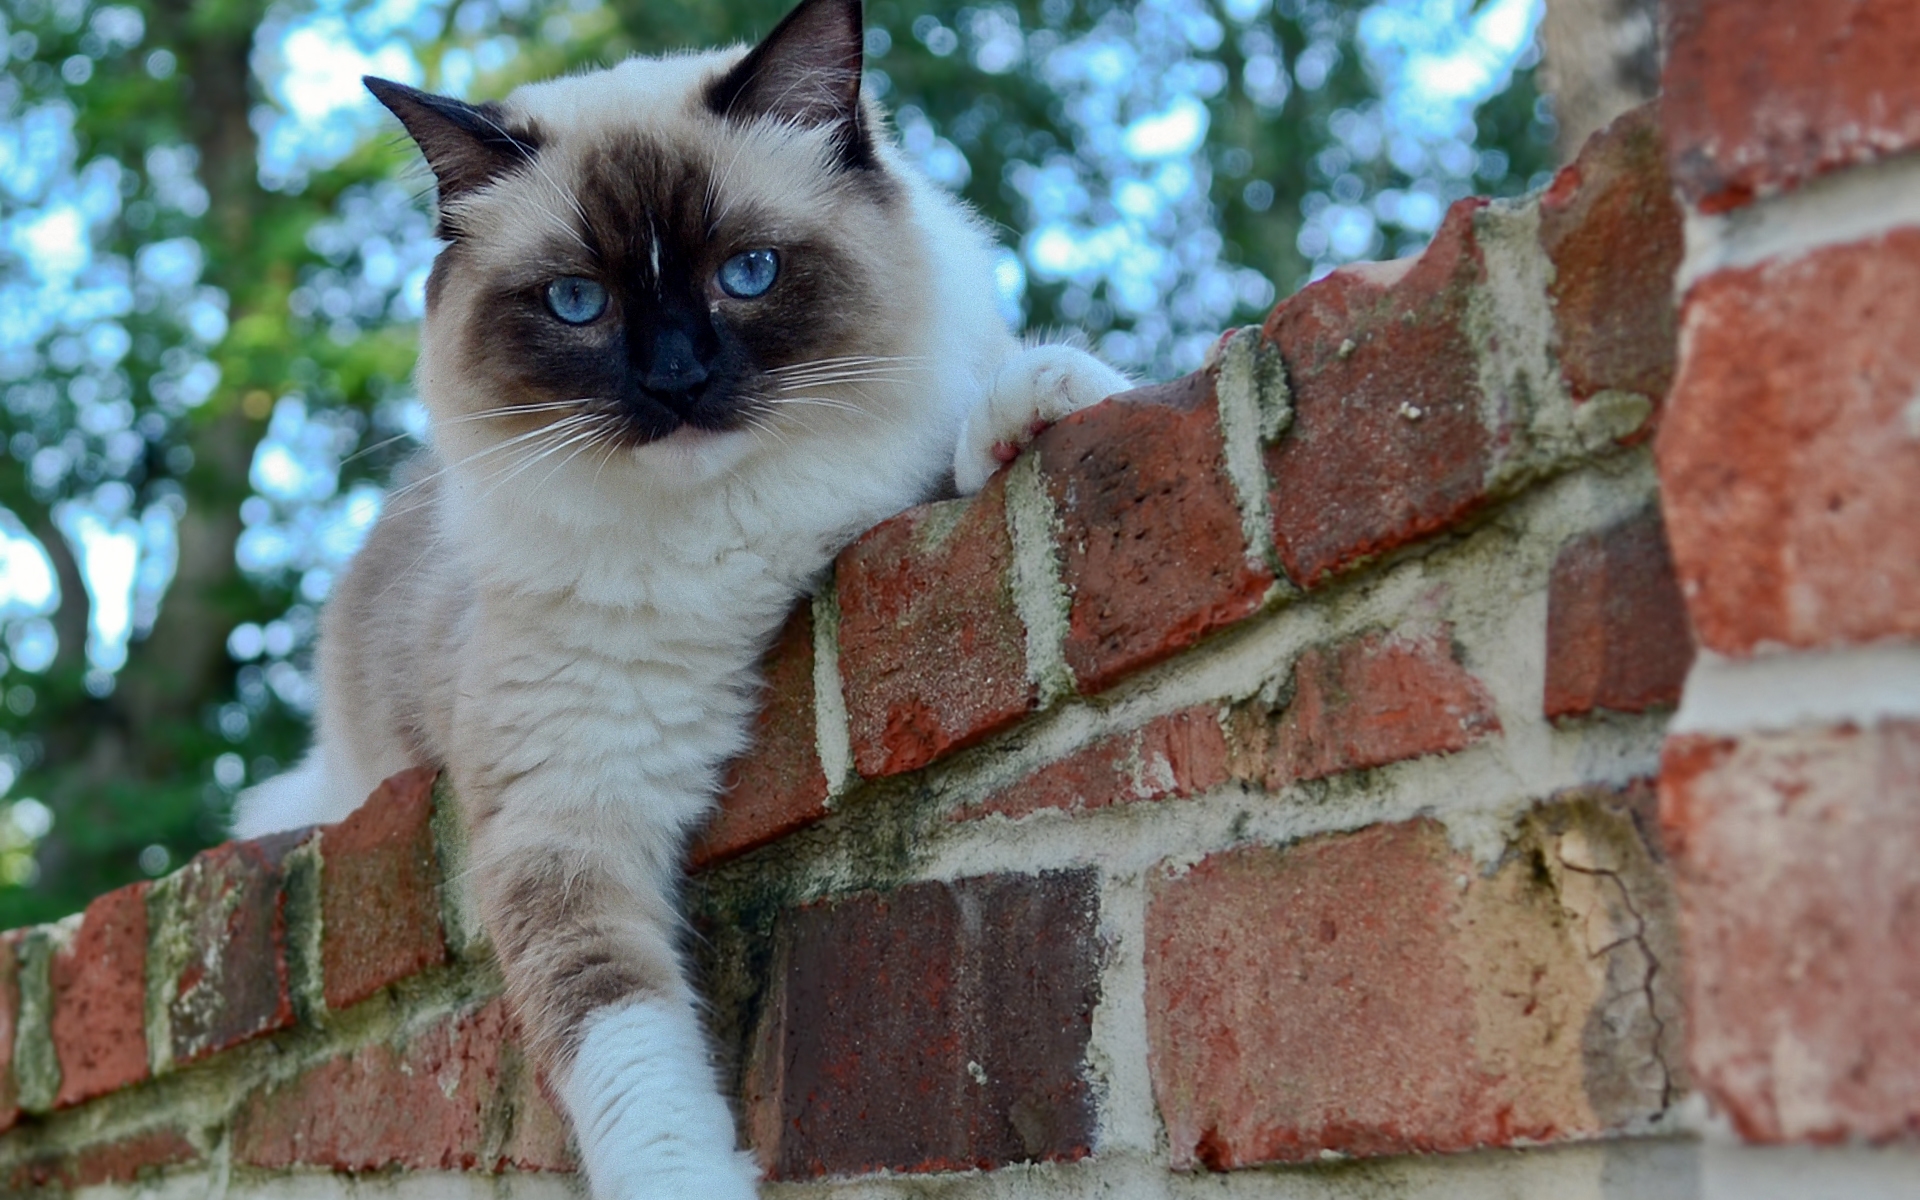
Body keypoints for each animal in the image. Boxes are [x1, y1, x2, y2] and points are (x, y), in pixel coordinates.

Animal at [228, 0, 1121, 1190]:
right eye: (578, 302)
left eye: (748, 273)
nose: (677, 381)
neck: (726, 543)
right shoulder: (565, 822)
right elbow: (628, 1052)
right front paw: (688, 1179)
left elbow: (954, 459)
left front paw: (1042, 400)